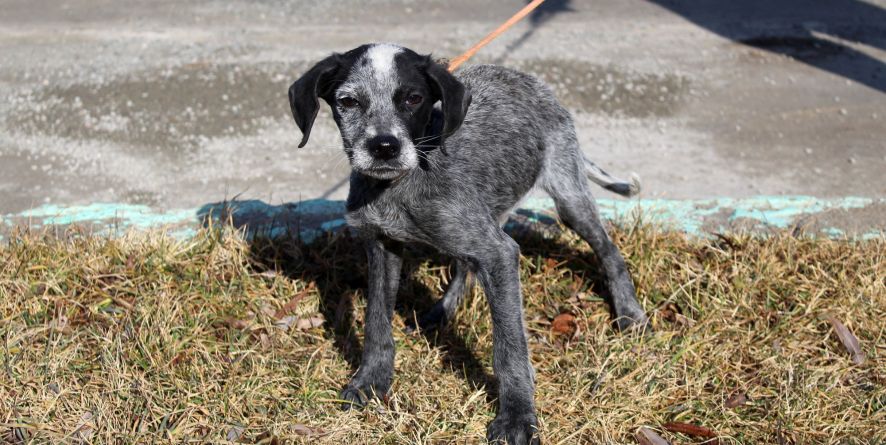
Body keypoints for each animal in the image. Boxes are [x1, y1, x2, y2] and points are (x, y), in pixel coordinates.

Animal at [292, 42, 652, 444]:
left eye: (413, 98)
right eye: (349, 101)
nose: (384, 147)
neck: (400, 185)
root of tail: (528, 81)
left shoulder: (499, 254)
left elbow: (509, 348)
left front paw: (517, 417)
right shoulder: (382, 246)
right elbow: (376, 324)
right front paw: (371, 381)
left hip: (568, 197)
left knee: (608, 250)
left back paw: (629, 313)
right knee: (465, 264)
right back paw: (441, 311)